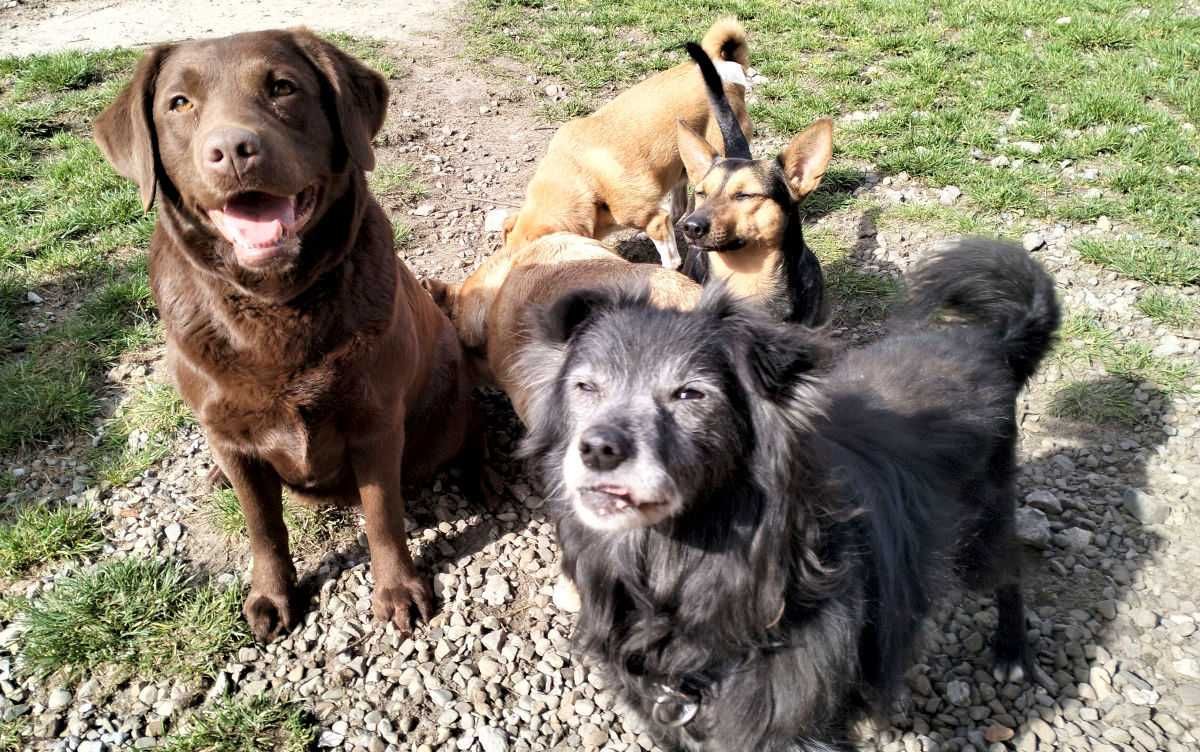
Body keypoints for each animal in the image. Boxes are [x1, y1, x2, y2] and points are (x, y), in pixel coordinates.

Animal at [93, 29, 472, 642]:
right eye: (179, 103)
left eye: (283, 88)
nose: (231, 149)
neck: (274, 306)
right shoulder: (231, 435)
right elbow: (263, 527)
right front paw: (272, 595)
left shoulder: (375, 422)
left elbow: (382, 515)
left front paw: (397, 590)